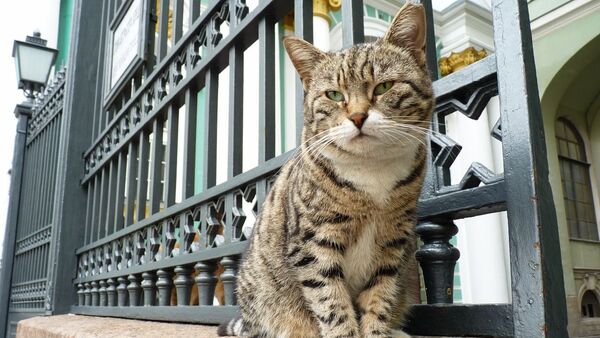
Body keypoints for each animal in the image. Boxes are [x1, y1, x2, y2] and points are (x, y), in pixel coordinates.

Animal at [218, 1, 434, 336]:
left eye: (383, 87)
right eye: (334, 94)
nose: (358, 117)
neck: (371, 169)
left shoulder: (393, 241)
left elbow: (380, 298)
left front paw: (377, 330)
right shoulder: (312, 243)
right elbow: (331, 302)